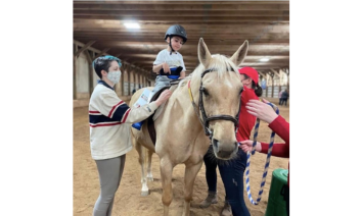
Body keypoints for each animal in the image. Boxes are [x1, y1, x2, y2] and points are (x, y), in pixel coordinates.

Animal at [130, 38, 249, 215]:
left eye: (240, 90)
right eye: (205, 90)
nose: (226, 147)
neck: (184, 125)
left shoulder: (194, 165)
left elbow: (187, 196)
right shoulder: (166, 164)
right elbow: (166, 199)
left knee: (150, 155)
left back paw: (151, 176)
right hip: (136, 142)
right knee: (142, 161)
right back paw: (145, 186)